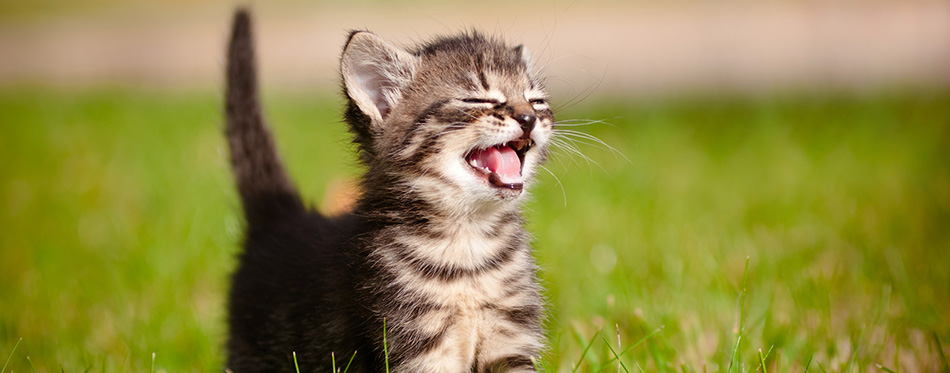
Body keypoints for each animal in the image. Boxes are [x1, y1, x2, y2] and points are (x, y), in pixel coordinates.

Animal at [226, 9, 556, 372]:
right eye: (477, 99)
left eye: (536, 101)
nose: (528, 118)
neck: (468, 243)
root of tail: (282, 218)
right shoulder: (414, 343)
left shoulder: (511, 339)